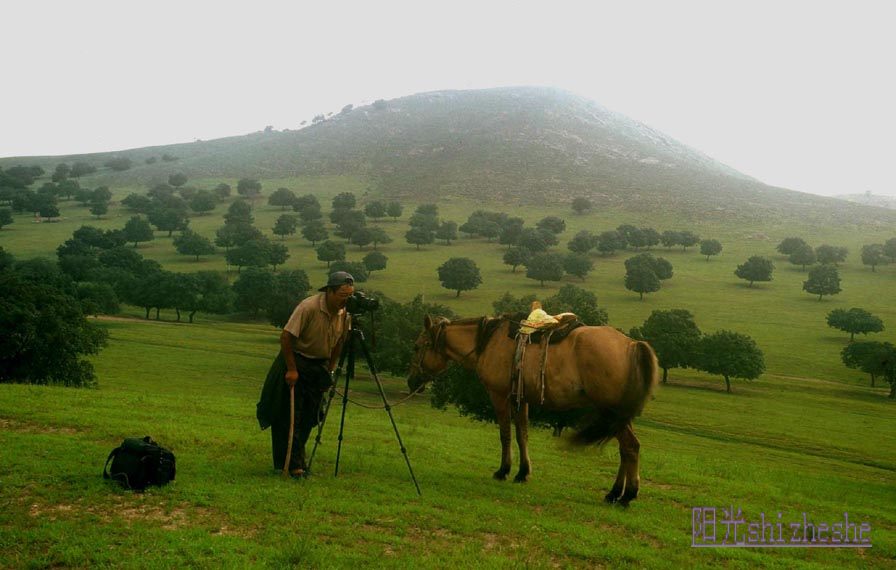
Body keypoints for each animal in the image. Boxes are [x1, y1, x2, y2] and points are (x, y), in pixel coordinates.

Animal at [408, 312, 656, 504]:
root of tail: (632, 345)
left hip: (611, 412)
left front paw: (503, 470)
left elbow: (505, 434)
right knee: (626, 449)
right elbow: (522, 435)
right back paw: (615, 493)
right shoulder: (521, 398)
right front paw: (522, 472)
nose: (411, 382)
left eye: (417, 346)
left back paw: (627, 495)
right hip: (618, 416)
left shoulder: (499, 396)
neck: (487, 342)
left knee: (631, 447)